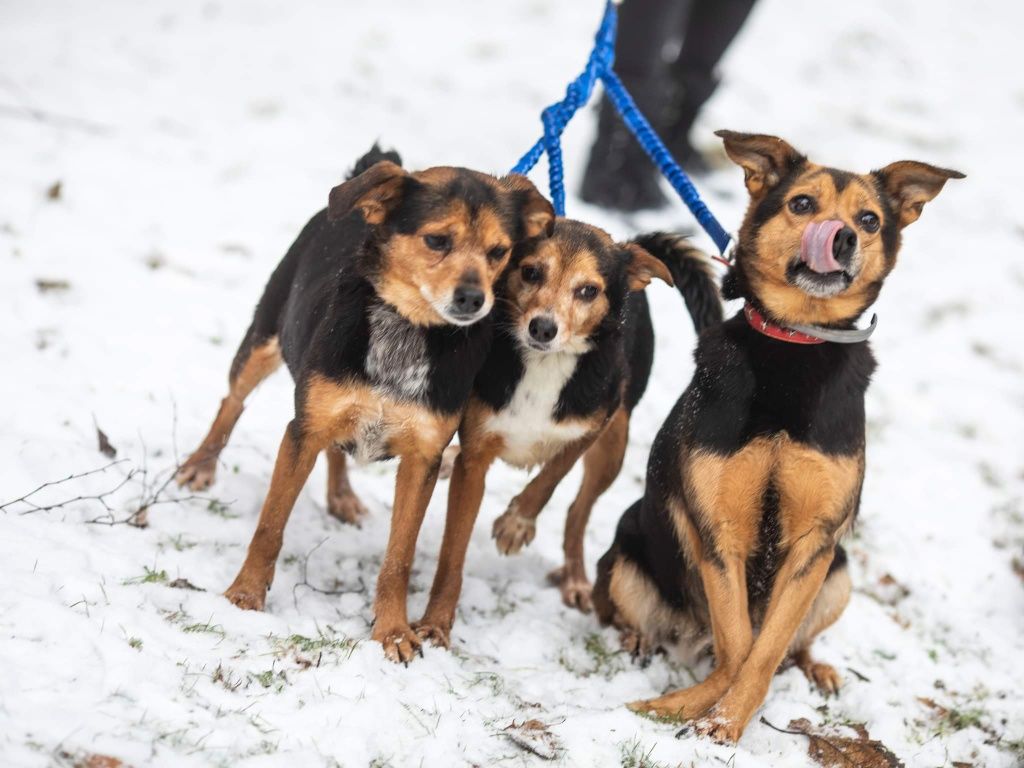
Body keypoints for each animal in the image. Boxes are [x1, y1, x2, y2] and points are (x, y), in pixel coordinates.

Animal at [179, 145, 557, 663]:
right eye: (437, 240)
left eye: (499, 252)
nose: (473, 299)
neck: (409, 327)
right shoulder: (302, 430)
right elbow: (270, 526)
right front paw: (246, 595)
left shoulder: (424, 458)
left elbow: (399, 557)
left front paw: (393, 631)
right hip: (265, 338)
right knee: (231, 401)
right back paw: (200, 465)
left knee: (336, 446)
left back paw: (341, 495)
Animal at [407, 218, 720, 651]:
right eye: (530, 272)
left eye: (588, 290)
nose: (543, 327)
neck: (544, 364)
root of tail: (629, 245)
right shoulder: (477, 454)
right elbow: (453, 551)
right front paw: (436, 624)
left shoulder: (591, 426)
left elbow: (552, 475)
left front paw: (517, 524)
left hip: (614, 446)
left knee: (577, 512)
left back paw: (575, 580)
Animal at [589, 129, 962, 741]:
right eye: (802, 204)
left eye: (869, 219)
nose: (842, 237)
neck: (796, 344)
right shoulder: (718, 532)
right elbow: (737, 645)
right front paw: (690, 708)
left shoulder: (815, 541)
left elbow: (763, 649)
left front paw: (723, 721)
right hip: (627, 548)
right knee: (638, 611)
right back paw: (637, 638)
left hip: (839, 572)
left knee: (795, 643)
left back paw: (817, 668)